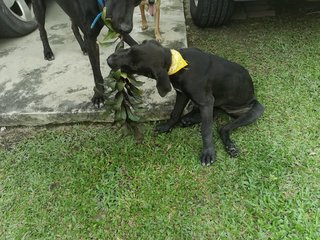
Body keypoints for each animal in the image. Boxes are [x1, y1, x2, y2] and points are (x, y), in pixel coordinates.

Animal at [106, 40, 264, 166]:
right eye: (130, 49)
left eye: (134, 66)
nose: (108, 60)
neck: (178, 64)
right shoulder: (182, 94)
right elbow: (175, 113)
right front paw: (167, 126)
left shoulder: (206, 101)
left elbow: (206, 129)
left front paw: (208, 152)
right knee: (214, 113)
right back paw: (189, 119)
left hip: (255, 109)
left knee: (223, 127)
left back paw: (229, 146)